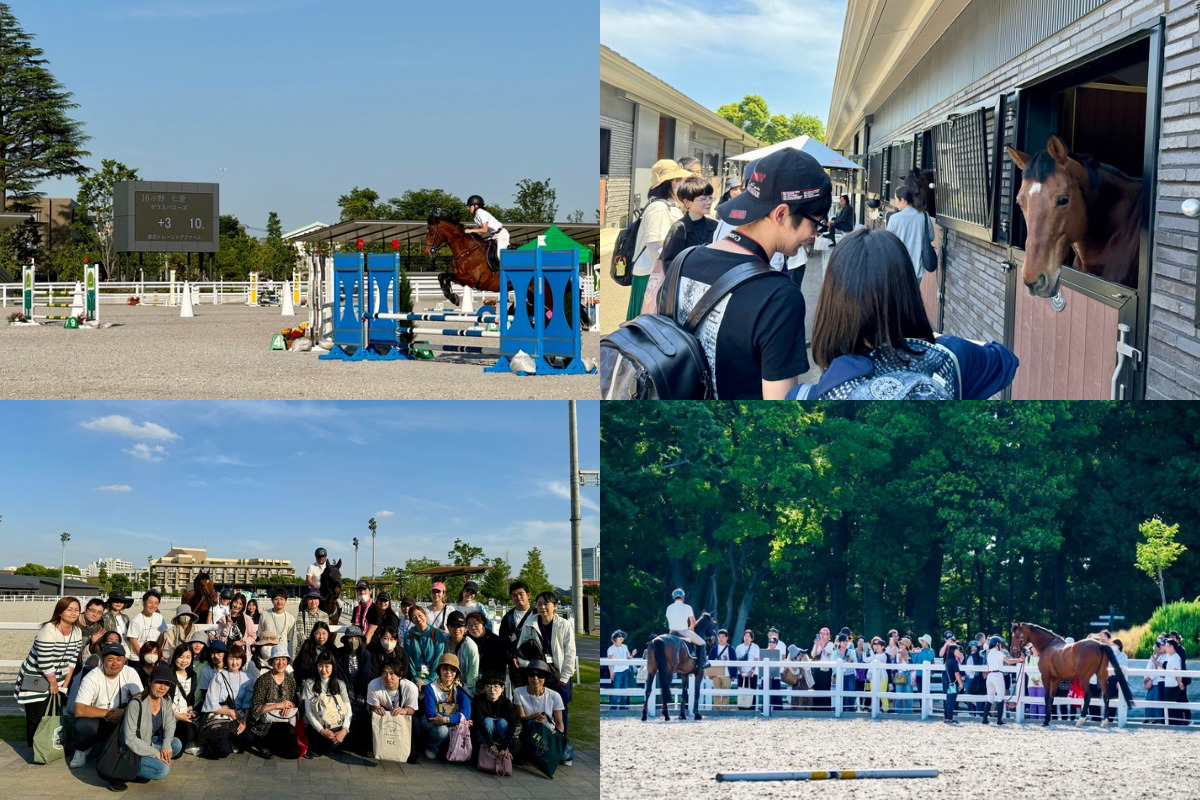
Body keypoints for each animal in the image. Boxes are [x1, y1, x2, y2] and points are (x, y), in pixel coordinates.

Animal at [1003, 623, 1132, 729]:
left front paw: (1045, 721)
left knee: (1088, 696)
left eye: (1016, 636)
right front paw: (1048, 720)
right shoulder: (1055, 679)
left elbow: (1046, 697)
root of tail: (1099, 644)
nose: (1013, 653)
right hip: (1102, 676)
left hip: (1084, 678)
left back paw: (1080, 721)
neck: (1048, 645)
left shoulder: (1046, 676)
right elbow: (1052, 697)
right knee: (1106, 696)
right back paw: (1104, 722)